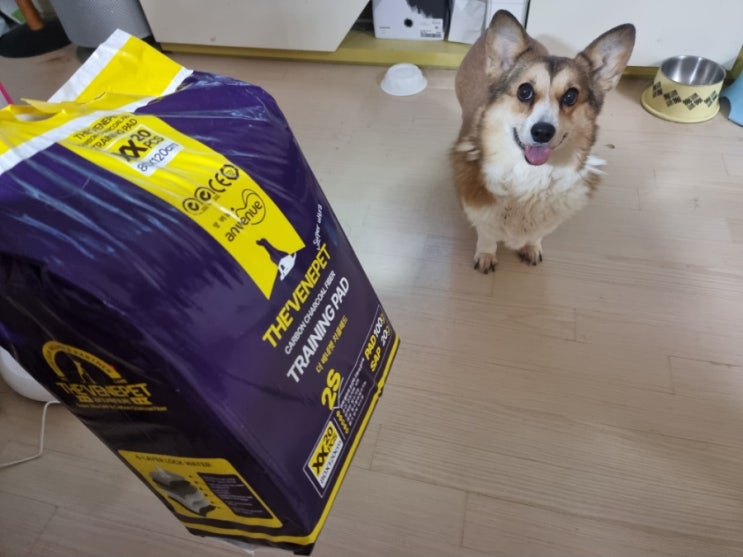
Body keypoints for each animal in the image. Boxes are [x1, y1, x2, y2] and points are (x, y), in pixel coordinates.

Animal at [451, 10, 635, 273]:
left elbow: (536, 234)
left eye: (571, 96)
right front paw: (486, 255)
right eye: (524, 91)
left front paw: (531, 247)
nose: (542, 132)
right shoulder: (479, 211)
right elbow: (487, 235)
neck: (529, 178)